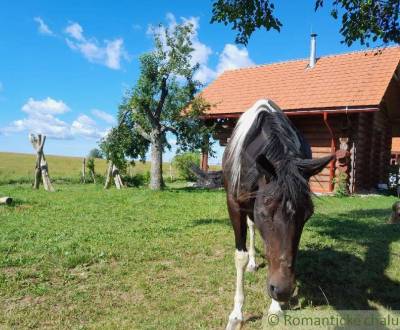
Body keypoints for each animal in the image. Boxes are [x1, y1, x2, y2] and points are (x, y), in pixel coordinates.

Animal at [222, 99, 334, 328]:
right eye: (265, 212)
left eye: (307, 215)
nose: (283, 291)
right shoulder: (235, 204)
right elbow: (240, 256)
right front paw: (236, 314)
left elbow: (276, 253)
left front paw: (275, 307)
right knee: (251, 229)